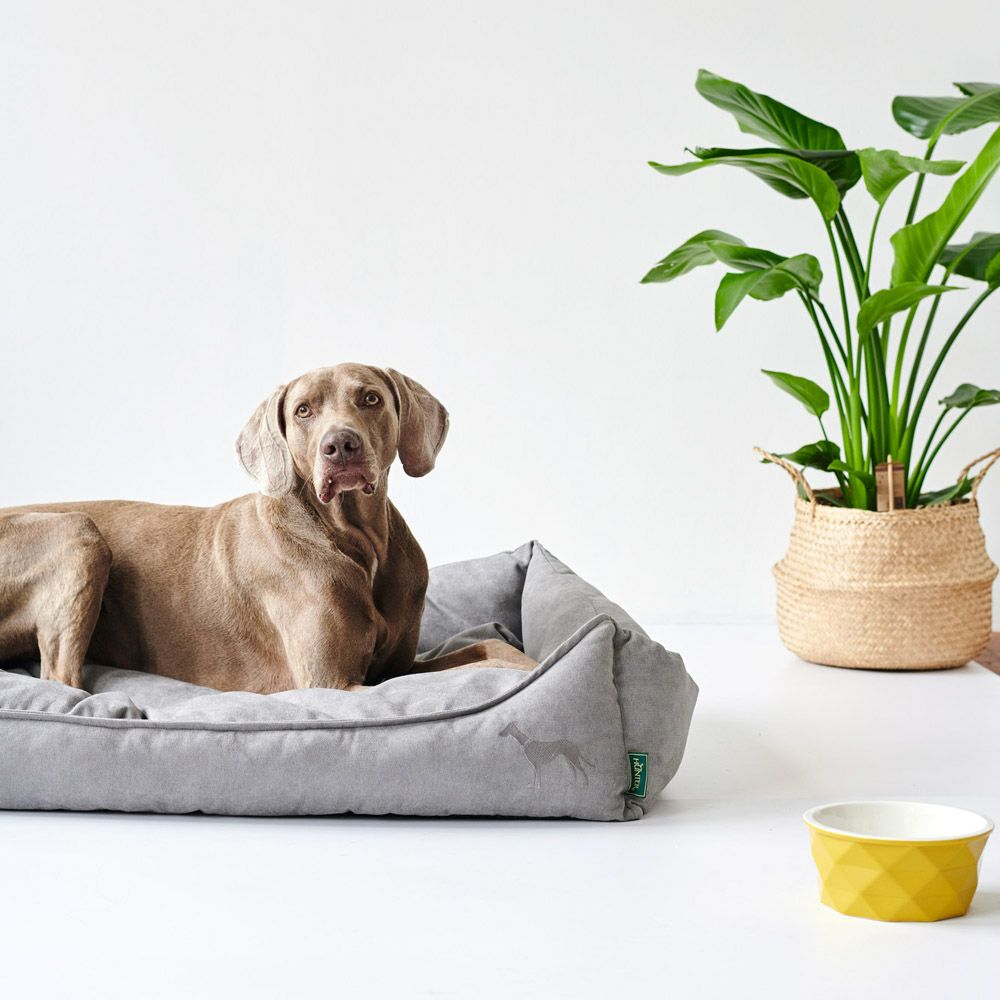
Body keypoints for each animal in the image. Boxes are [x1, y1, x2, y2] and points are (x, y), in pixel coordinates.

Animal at [0, 364, 536, 692]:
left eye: (370, 398)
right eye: (303, 410)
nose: (340, 446)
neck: (357, 544)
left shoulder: (398, 662)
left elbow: (489, 646)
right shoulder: (334, 683)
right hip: (80, 532)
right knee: (62, 680)